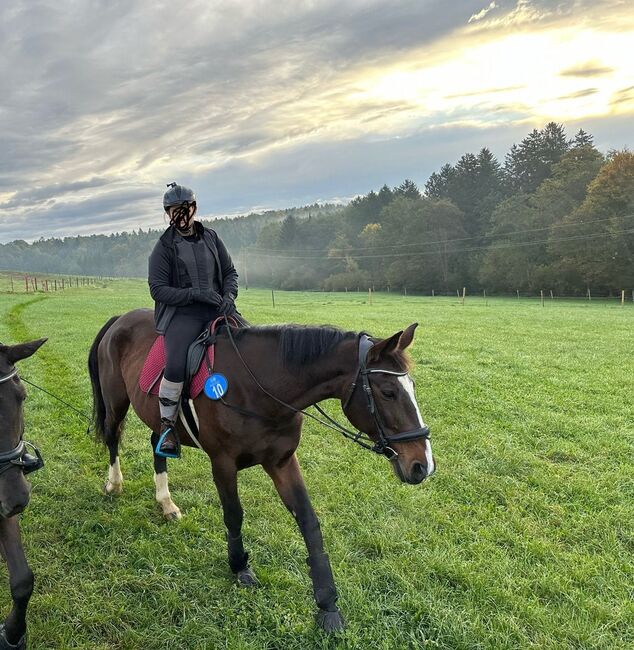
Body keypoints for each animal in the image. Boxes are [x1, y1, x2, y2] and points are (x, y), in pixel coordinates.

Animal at [87, 306, 434, 632]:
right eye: (388, 392)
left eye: (412, 386)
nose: (423, 465)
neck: (259, 387)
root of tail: (120, 318)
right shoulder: (223, 462)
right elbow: (234, 514)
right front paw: (239, 565)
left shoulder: (282, 462)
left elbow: (308, 521)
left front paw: (327, 604)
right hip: (116, 401)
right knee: (113, 436)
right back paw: (114, 484)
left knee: (156, 443)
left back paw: (166, 503)